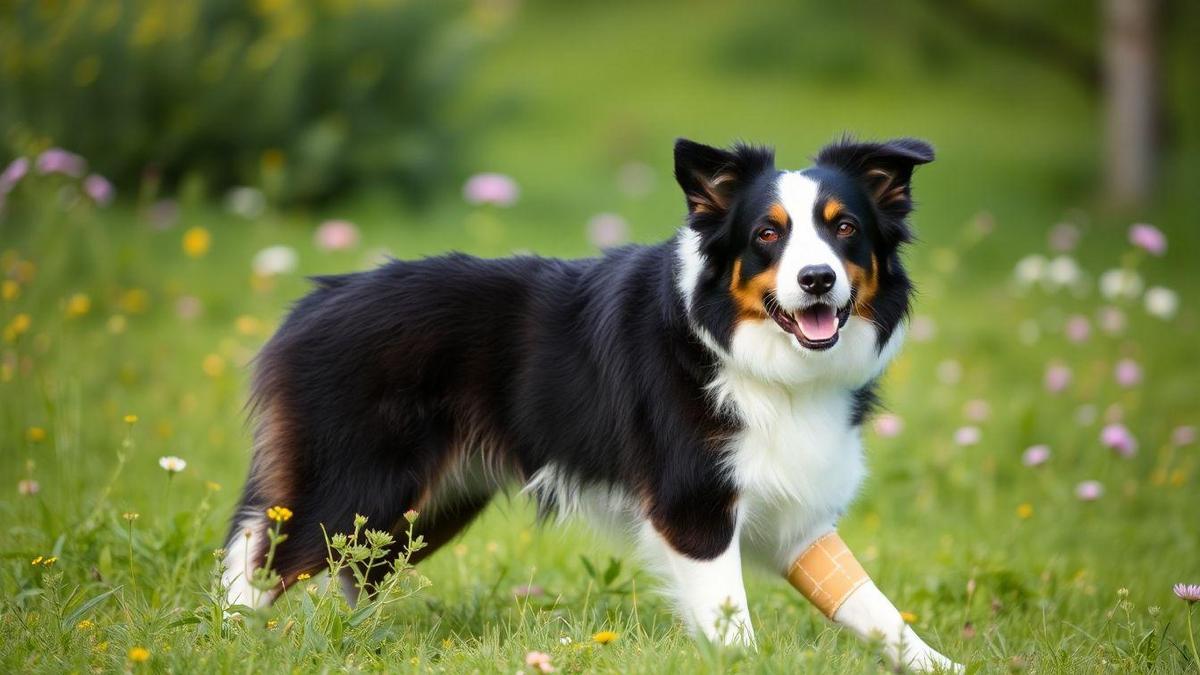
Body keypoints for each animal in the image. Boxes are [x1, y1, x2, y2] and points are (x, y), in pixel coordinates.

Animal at [223, 135, 955, 667]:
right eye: (767, 235)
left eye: (845, 227)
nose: (817, 279)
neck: (751, 356)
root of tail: (314, 301)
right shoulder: (693, 503)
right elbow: (732, 619)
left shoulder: (796, 514)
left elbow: (874, 606)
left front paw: (942, 663)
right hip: (356, 484)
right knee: (258, 555)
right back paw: (226, 636)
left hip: (423, 505)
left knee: (347, 571)